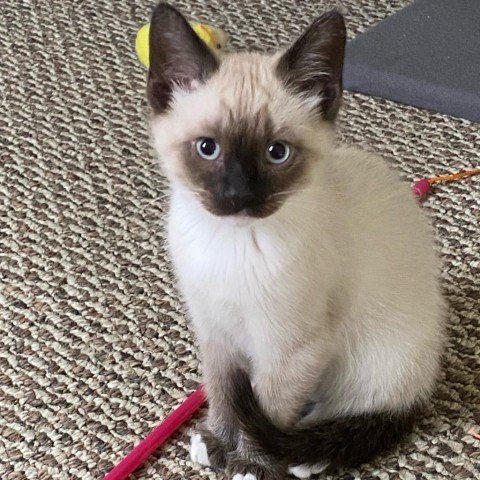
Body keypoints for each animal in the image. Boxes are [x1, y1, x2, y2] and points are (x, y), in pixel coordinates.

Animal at [145, 1, 442, 478]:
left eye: (277, 153)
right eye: (208, 148)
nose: (239, 196)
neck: (228, 244)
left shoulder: (292, 349)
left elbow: (266, 408)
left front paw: (250, 463)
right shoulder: (214, 330)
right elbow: (223, 391)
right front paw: (217, 441)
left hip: (368, 359)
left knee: (352, 414)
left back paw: (307, 456)